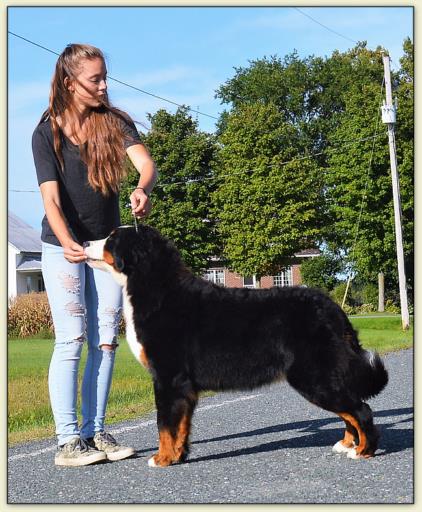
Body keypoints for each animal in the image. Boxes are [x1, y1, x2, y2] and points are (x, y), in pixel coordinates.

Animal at [85, 226, 390, 466]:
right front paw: (178, 455)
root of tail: (332, 307)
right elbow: (180, 426)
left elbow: (165, 424)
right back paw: (347, 444)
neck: (156, 289)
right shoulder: (182, 386)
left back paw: (363, 450)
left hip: (314, 377)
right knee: (350, 409)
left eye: (111, 238)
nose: (85, 242)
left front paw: (163, 459)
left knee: (360, 410)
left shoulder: (168, 378)